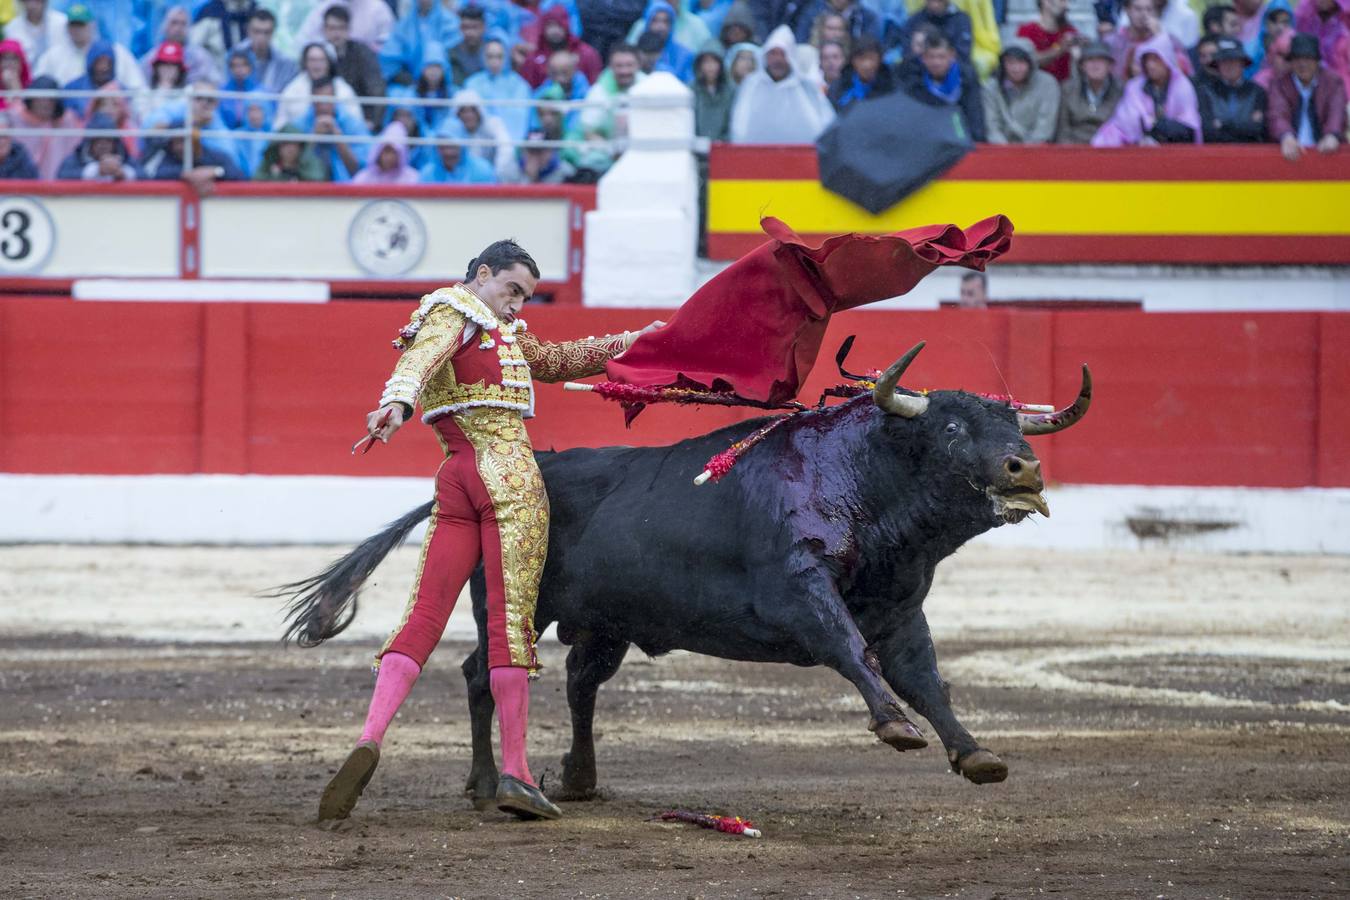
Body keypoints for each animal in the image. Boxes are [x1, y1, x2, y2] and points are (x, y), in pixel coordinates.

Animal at [279, 342, 1090, 804]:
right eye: (951, 427)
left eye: (1012, 427)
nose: (1026, 468)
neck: (864, 481)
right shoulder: (799, 591)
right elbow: (849, 650)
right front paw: (893, 726)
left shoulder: (901, 608)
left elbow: (926, 677)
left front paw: (974, 753)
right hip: (510, 597)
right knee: (486, 670)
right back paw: (486, 786)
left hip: (605, 622)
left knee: (579, 683)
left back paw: (579, 779)